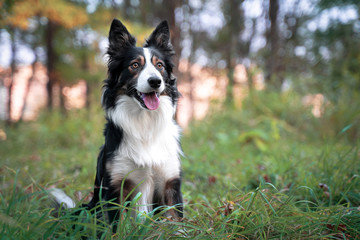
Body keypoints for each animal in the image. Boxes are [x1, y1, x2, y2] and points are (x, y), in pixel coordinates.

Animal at [51, 18, 183, 227]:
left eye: (160, 65)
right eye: (135, 65)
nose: (155, 81)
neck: (144, 123)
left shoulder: (170, 182)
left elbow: (178, 223)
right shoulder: (116, 184)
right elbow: (116, 225)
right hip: (90, 209)